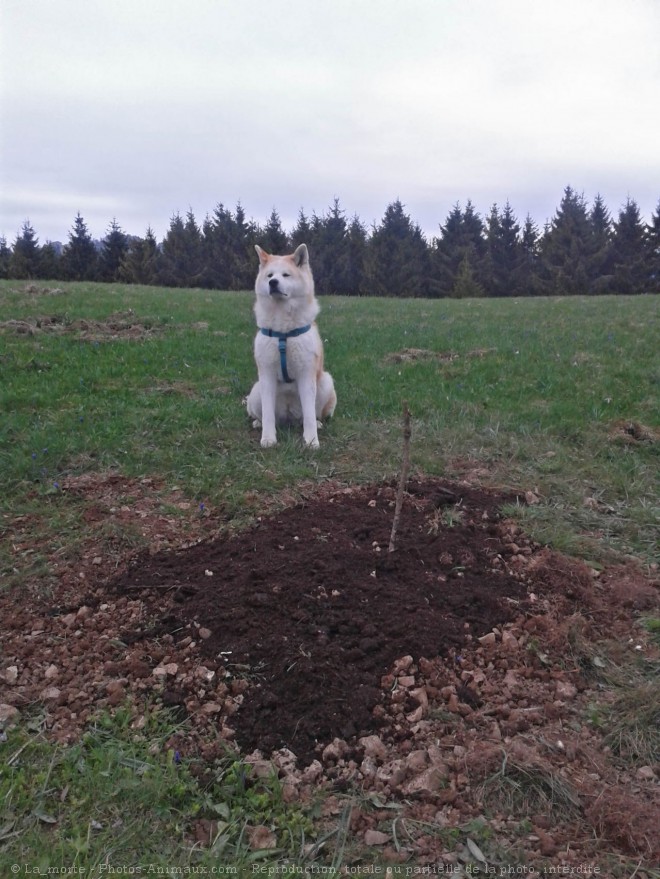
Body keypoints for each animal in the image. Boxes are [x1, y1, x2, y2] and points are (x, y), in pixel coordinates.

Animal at [246, 244, 336, 450]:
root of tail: (288, 419)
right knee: (264, 414)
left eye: (286, 275)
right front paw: (268, 438)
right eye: (270, 275)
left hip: (326, 383)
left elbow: (309, 415)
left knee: (311, 415)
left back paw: (317, 424)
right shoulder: (267, 374)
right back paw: (258, 423)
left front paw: (311, 441)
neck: (283, 332)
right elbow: (268, 414)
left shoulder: (306, 374)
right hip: (256, 391)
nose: (273, 283)